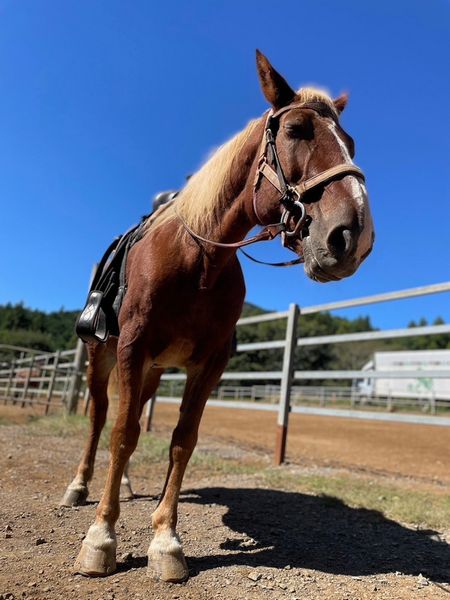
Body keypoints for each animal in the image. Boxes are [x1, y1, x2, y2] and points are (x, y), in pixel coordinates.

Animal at [61, 49, 374, 584]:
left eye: (349, 142)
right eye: (296, 130)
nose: (353, 235)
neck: (198, 258)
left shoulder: (206, 365)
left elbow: (182, 441)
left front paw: (166, 540)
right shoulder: (131, 348)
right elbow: (120, 435)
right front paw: (101, 538)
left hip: (152, 370)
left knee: (130, 418)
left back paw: (126, 486)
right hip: (102, 357)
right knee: (102, 419)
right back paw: (81, 488)